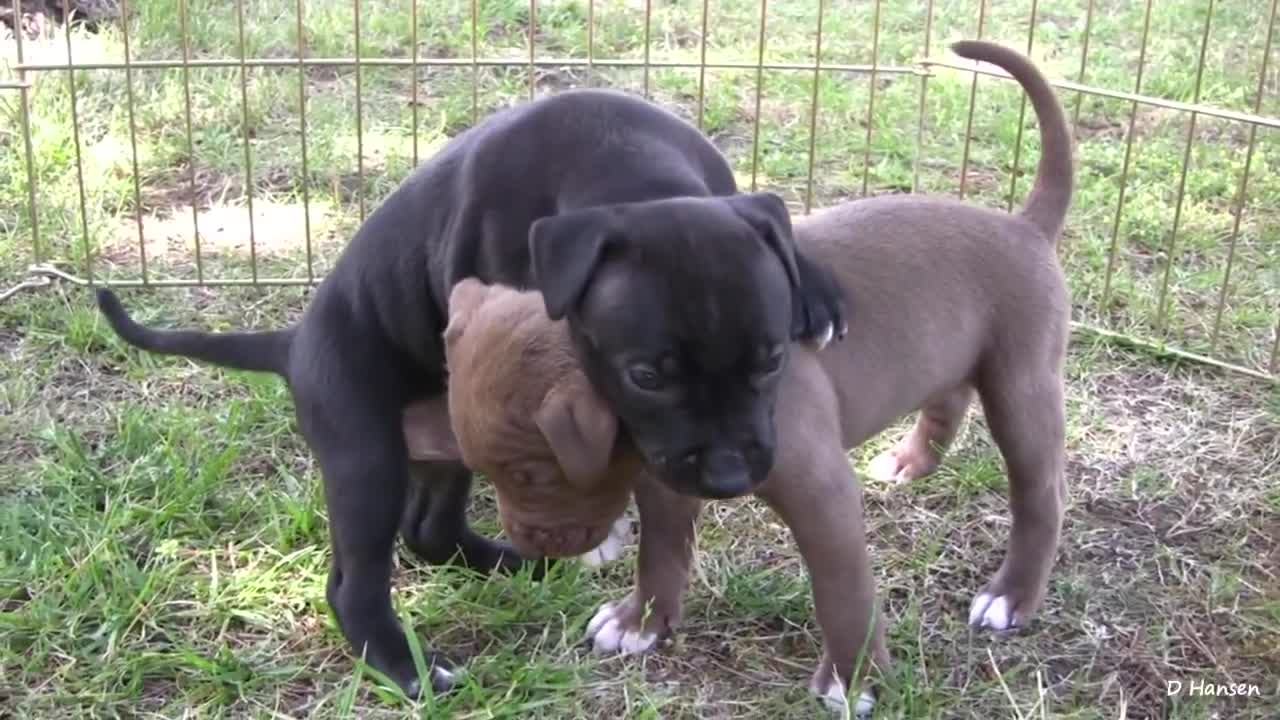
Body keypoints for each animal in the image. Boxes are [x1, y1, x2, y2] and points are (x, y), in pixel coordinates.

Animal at [94, 85, 844, 696]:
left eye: (772, 362)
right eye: (647, 377)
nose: (728, 477)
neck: (624, 167)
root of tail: (293, 342)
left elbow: (775, 226)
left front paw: (815, 284)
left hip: (441, 449)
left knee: (429, 529)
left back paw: (515, 565)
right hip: (364, 449)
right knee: (358, 577)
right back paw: (408, 666)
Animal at [407, 40, 1070, 717]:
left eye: (773, 361)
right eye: (646, 376)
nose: (726, 478)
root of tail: (1022, 226)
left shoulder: (821, 496)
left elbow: (843, 591)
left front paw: (854, 678)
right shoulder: (662, 475)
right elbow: (661, 548)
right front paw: (642, 620)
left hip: (1022, 389)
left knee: (1040, 495)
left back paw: (1012, 595)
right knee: (949, 397)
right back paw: (909, 461)